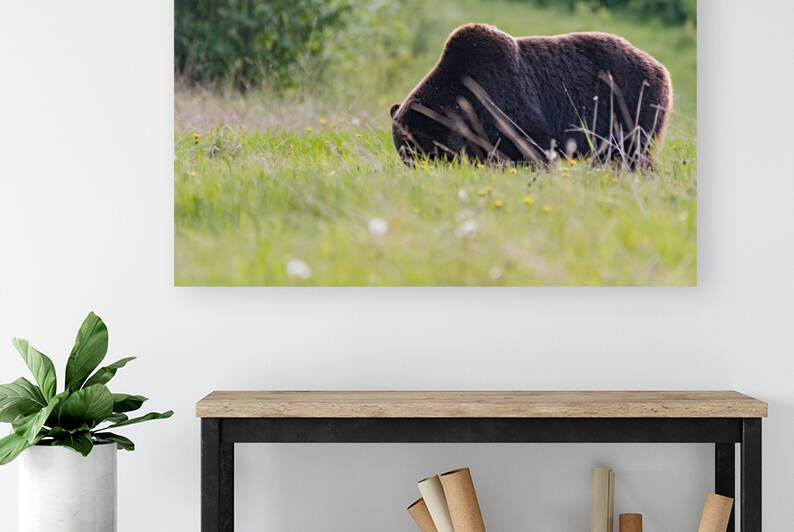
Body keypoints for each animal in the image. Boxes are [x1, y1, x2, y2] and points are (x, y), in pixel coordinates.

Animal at [390, 24, 673, 167]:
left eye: (413, 146)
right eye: (401, 147)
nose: (413, 166)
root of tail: (660, 66)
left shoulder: (505, 99)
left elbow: (529, 143)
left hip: (630, 102)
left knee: (630, 152)